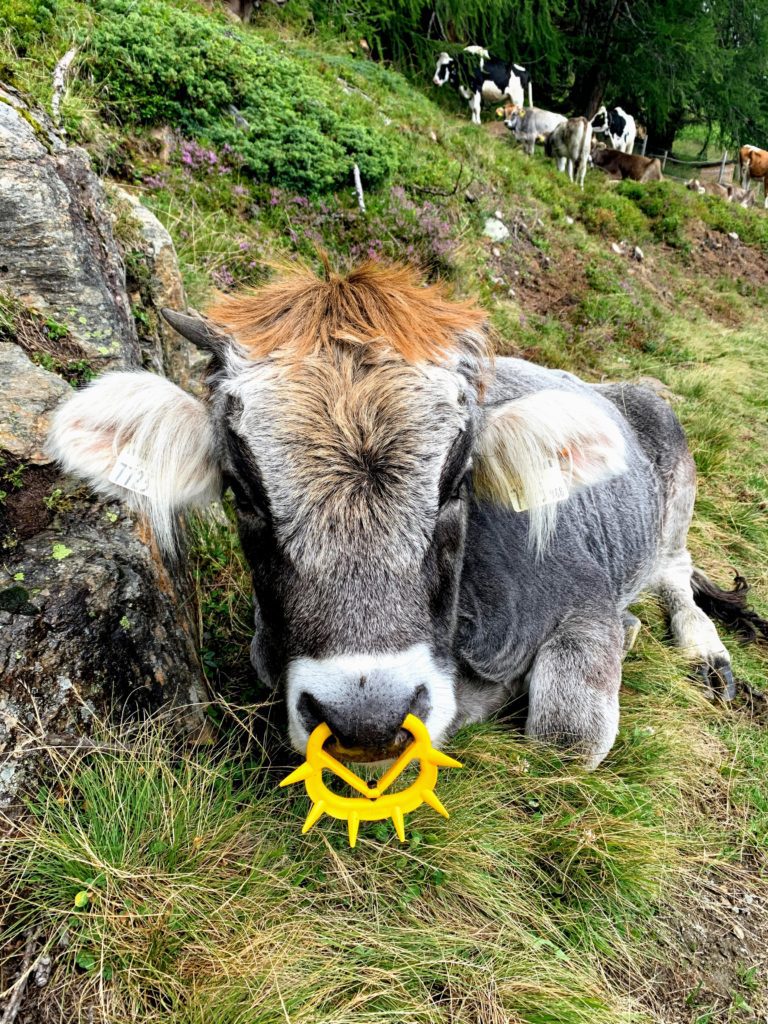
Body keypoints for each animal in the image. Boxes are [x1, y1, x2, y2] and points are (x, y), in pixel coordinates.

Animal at [49, 264, 765, 770]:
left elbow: (565, 739)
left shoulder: (581, 597)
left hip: (675, 480)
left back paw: (704, 651)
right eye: (243, 490)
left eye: (457, 482)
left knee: (676, 573)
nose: (369, 720)